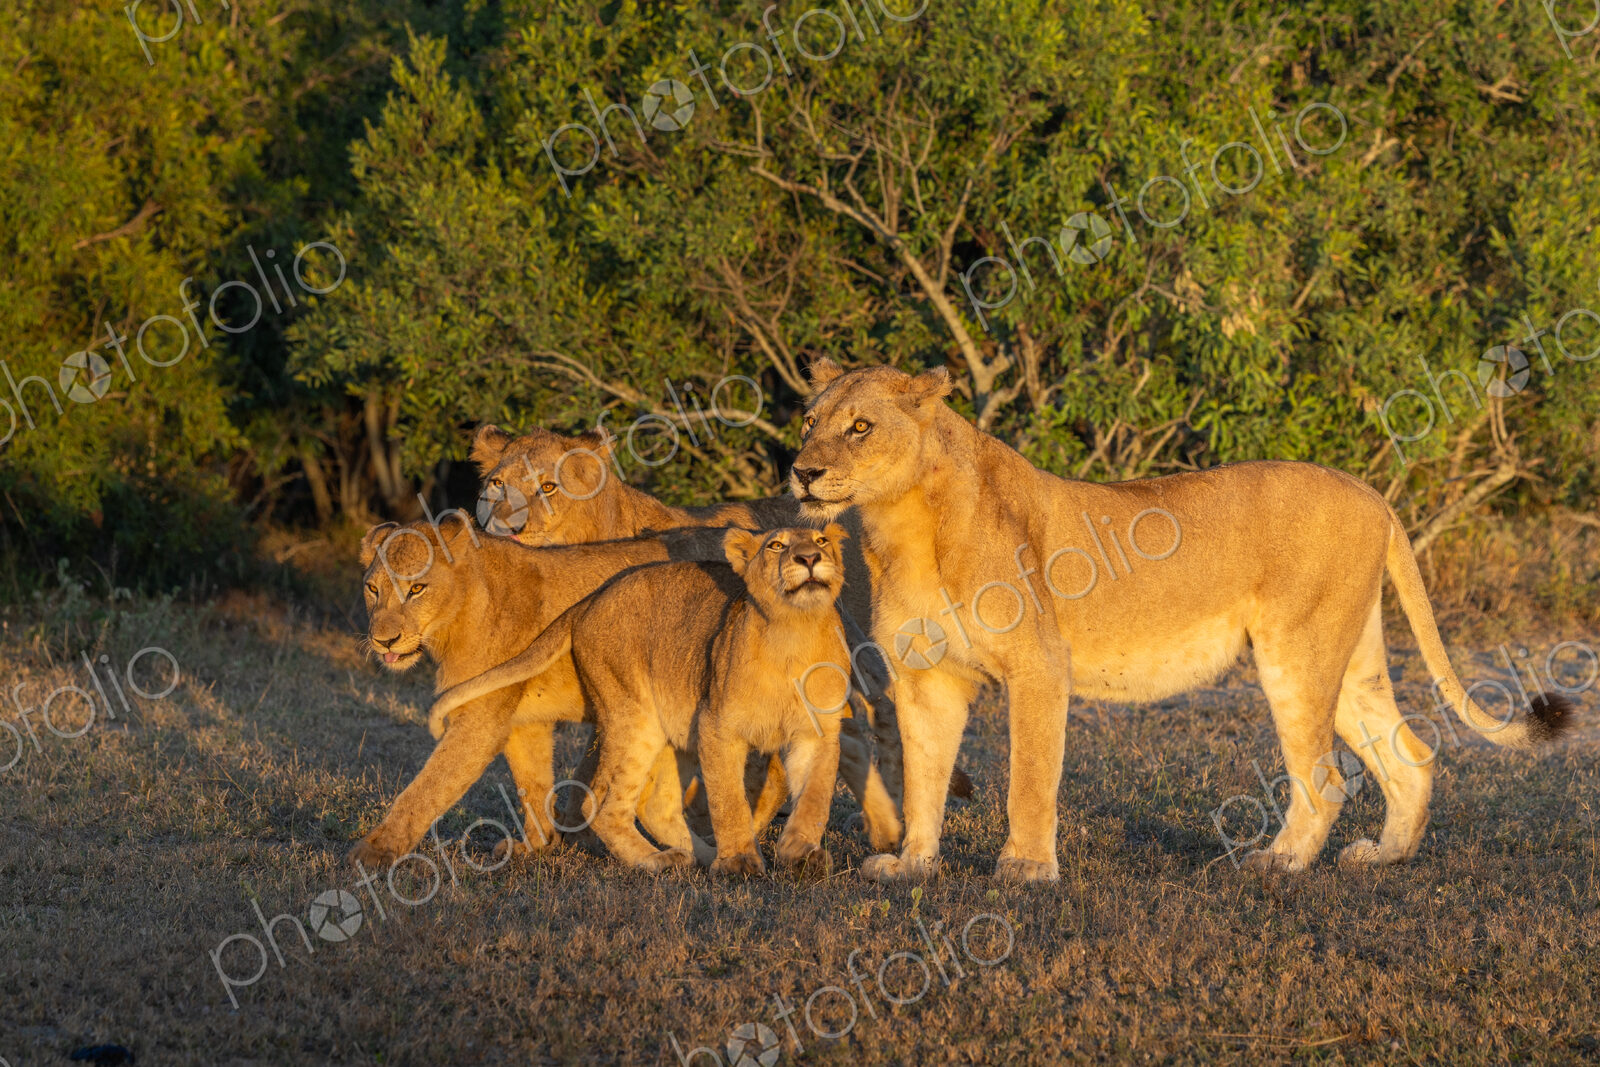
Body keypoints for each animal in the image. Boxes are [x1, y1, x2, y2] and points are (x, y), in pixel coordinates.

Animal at [348, 514, 760, 870]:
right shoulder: (523, 721)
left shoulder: (479, 718)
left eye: (416, 588)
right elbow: (532, 784)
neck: (460, 612)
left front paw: (375, 851)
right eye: (372, 589)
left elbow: (427, 788)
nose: (383, 640)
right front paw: (537, 846)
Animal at [428, 525, 855, 875]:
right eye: (776, 545)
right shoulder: (716, 726)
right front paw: (738, 863)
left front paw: (802, 855)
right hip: (635, 716)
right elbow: (728, 799)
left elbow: (814, 797)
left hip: (673, 726)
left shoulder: (818, 732)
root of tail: (592, 599)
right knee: (604, 806)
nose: (809, 558)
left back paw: (694, 857)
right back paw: (657, 861)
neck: (794, 632)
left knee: (657, 805)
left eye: (821, 541)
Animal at [788, 359, 1573, 883]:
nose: (801, 472)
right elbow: (922, 776)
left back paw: (1278, 861)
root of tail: (1371, 491)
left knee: (1322, 775)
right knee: (1408, 753)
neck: (902, 526)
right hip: (1349, 659)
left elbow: (1030, 776)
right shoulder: (926, 678)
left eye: (860, 427)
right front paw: (913, 865)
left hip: (1295, 652)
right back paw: (1385, 855)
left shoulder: (1039, 667)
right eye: (809, 423)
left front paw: (1026, 869)